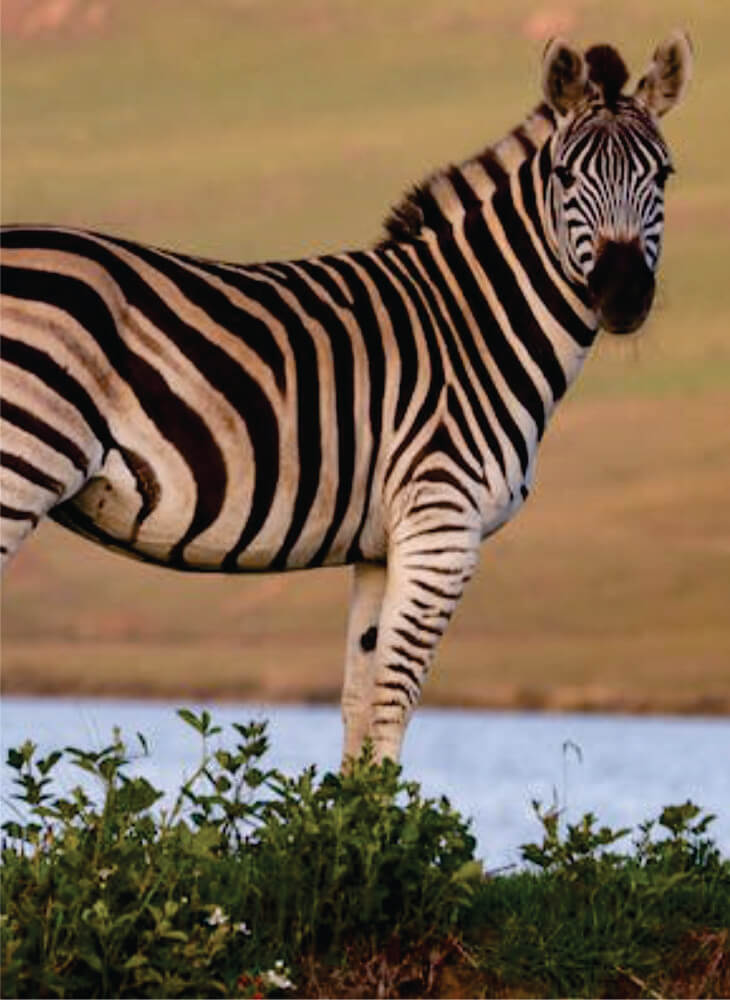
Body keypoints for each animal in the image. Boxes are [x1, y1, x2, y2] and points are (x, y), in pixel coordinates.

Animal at [0, 33, 692, 764]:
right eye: (564, 176)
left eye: (664, 175)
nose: (623, 294)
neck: (474, 320)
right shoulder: (442, 524)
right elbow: (393, 705)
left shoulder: (381, 546)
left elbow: (359, 707)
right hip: (21, 466)